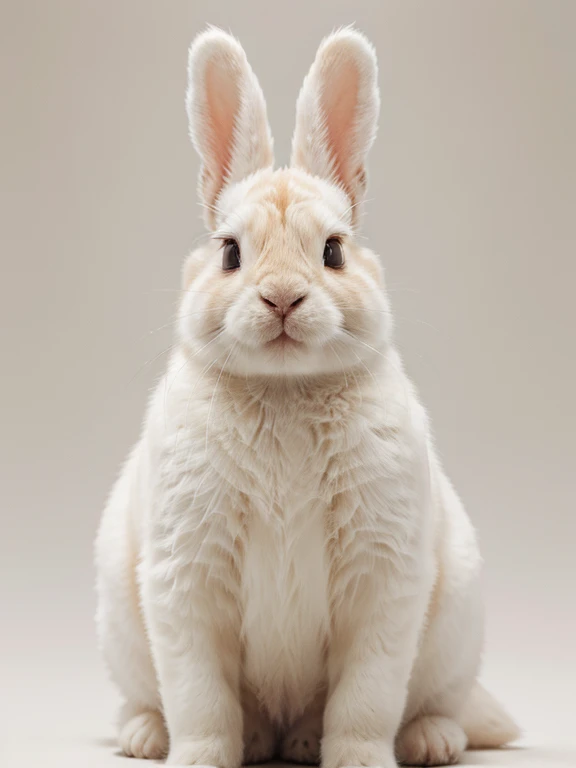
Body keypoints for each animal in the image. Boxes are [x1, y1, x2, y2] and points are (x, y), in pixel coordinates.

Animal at [93, 27, 516, 764]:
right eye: (230, 253)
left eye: (334, 252)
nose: (283, 298)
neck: (284, 390)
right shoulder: (186, 586)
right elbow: (201, 702)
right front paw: (198, 757)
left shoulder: (383, 588)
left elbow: (365, 700)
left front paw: (358, 759)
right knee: (171, 702)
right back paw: (153, 736)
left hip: (454, 632)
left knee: (437, 704)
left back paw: (421, 741)